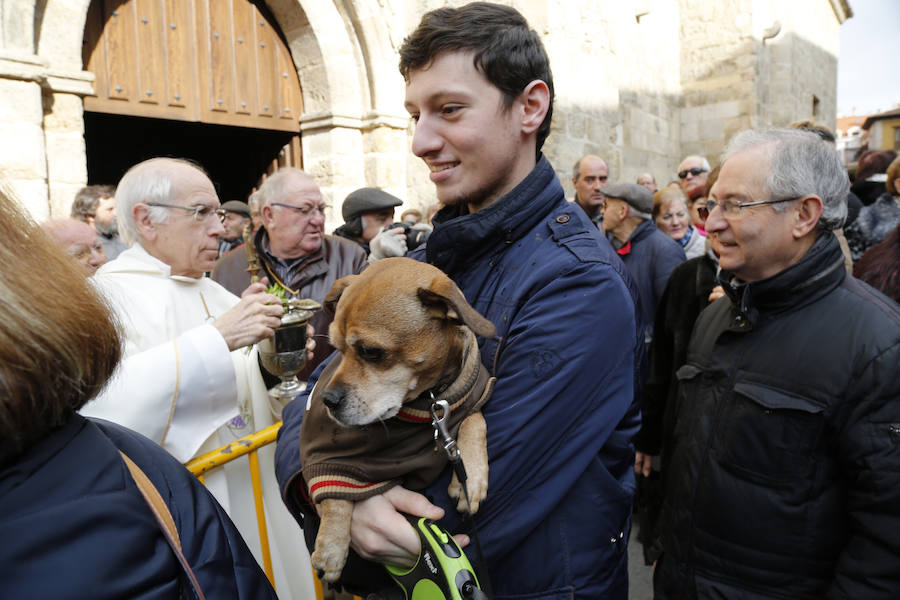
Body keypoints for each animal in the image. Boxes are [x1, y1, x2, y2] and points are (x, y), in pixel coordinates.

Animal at [302, 256, 500, 580]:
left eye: (371, 352)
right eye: (337, 349)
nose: (326, 400)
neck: (428, 398)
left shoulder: (470, 401)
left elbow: (474, 422)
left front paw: (470, 477)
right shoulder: (328, 455)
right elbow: (336, 497)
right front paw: (330, 548)